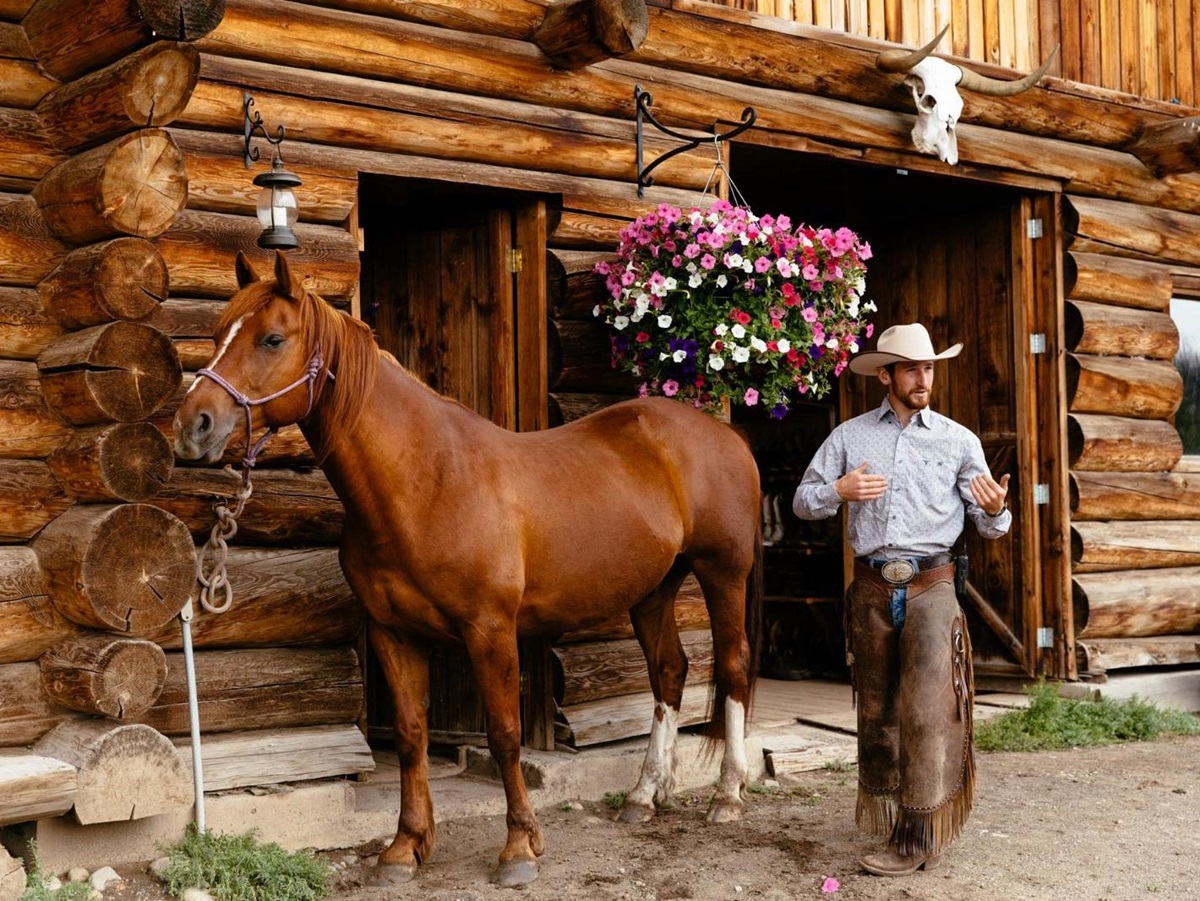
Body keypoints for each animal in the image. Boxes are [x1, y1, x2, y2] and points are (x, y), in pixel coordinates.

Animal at [173, 250, 764, 887]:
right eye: (216, 334)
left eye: (272, 339)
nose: (193, 425)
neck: (426, 480)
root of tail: (724, 433)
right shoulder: (393, 634)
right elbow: (411, 737)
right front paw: (405, 847)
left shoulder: (490, 630)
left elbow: (504, 735)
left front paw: (520, 848)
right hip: (654, 588)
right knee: (669, 673)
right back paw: (643, 797)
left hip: (722, 573)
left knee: (731, 666)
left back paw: (728, 795)